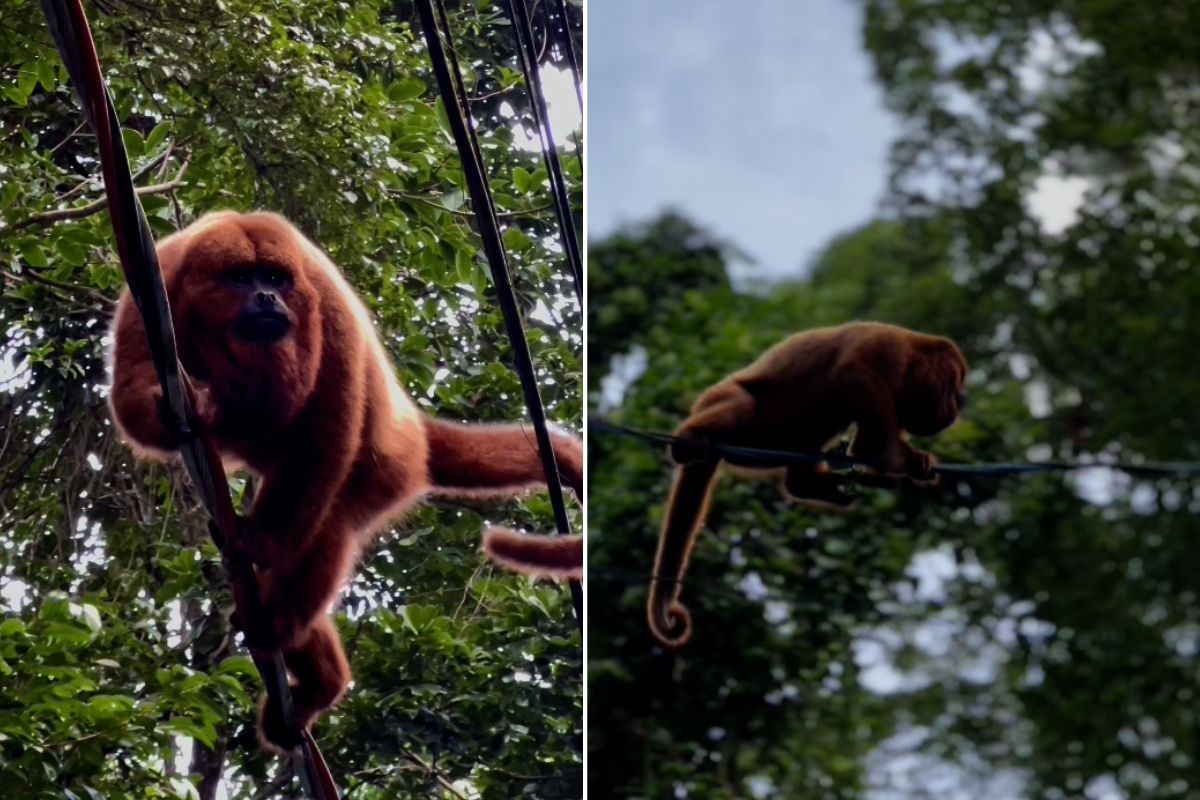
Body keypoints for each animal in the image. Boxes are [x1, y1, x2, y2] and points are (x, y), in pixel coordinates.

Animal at [108, 211, 583, 751]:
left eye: (275, 278)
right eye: (241, 278)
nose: (266, 298)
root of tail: (411, 430)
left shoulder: (323, 299)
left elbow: (329, 428)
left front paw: (259, 541)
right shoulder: (156, 286)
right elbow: (131, 391)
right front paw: (185, 408)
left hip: (381, 472)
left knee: (327, 523)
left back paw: (284, 633)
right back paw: (315, 674)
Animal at [646, 322, 967, 649]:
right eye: (954, 383)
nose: (957, 404)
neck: (913, 355)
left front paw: (914, 462)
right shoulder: (886, 347)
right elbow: (855, 382)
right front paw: (889, 463)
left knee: (812, 432)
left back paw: (815, 485)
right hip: (724, 402)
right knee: (742, 406)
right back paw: (690, 440)